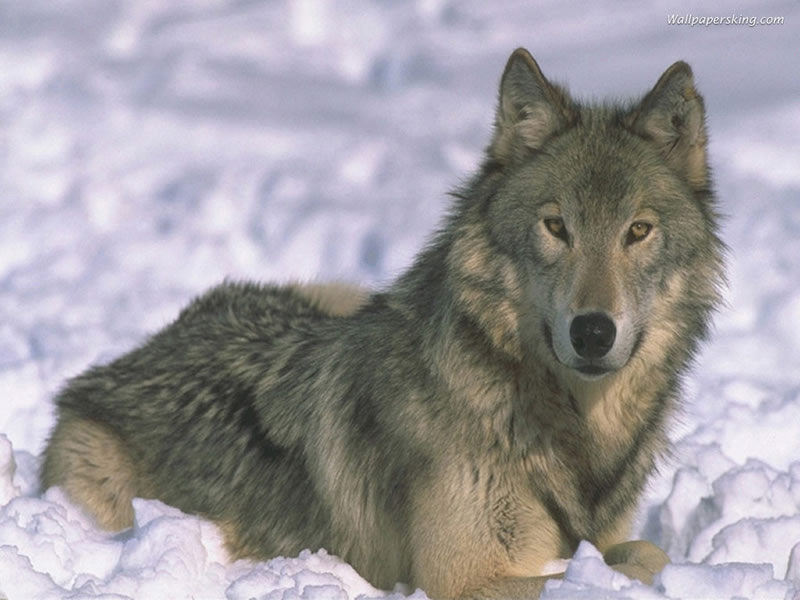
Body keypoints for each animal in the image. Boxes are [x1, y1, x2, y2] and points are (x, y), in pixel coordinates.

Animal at [39, 49, 724, 596]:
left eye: (638, 230)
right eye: (556, 227)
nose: (593, 332)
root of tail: (127, 360)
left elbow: (638, 548)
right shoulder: (465, 578)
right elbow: (638, 561)